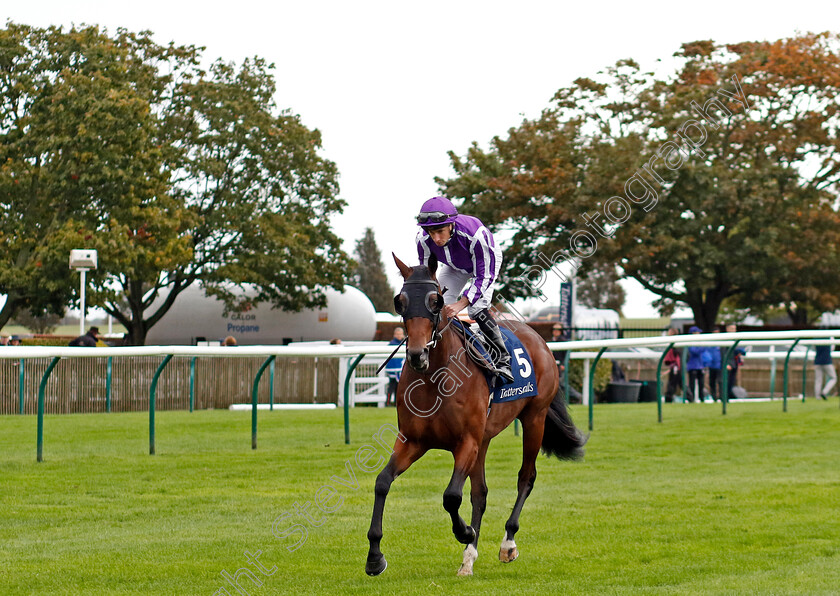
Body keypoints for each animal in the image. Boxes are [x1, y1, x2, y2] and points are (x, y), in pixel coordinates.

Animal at [364, 255, 588, 576]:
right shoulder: (413, 441)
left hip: (534, 418)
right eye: (400, 301)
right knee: (480, 493)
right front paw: (374, 556)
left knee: (526, 477)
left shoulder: (466, 441)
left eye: (436, 301)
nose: (417, 355)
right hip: (485, 438)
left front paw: (465, 532)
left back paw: (507, 543)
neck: (435, 378)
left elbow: (451, 496)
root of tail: (538, 337)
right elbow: (382, 482)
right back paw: (468, 558)